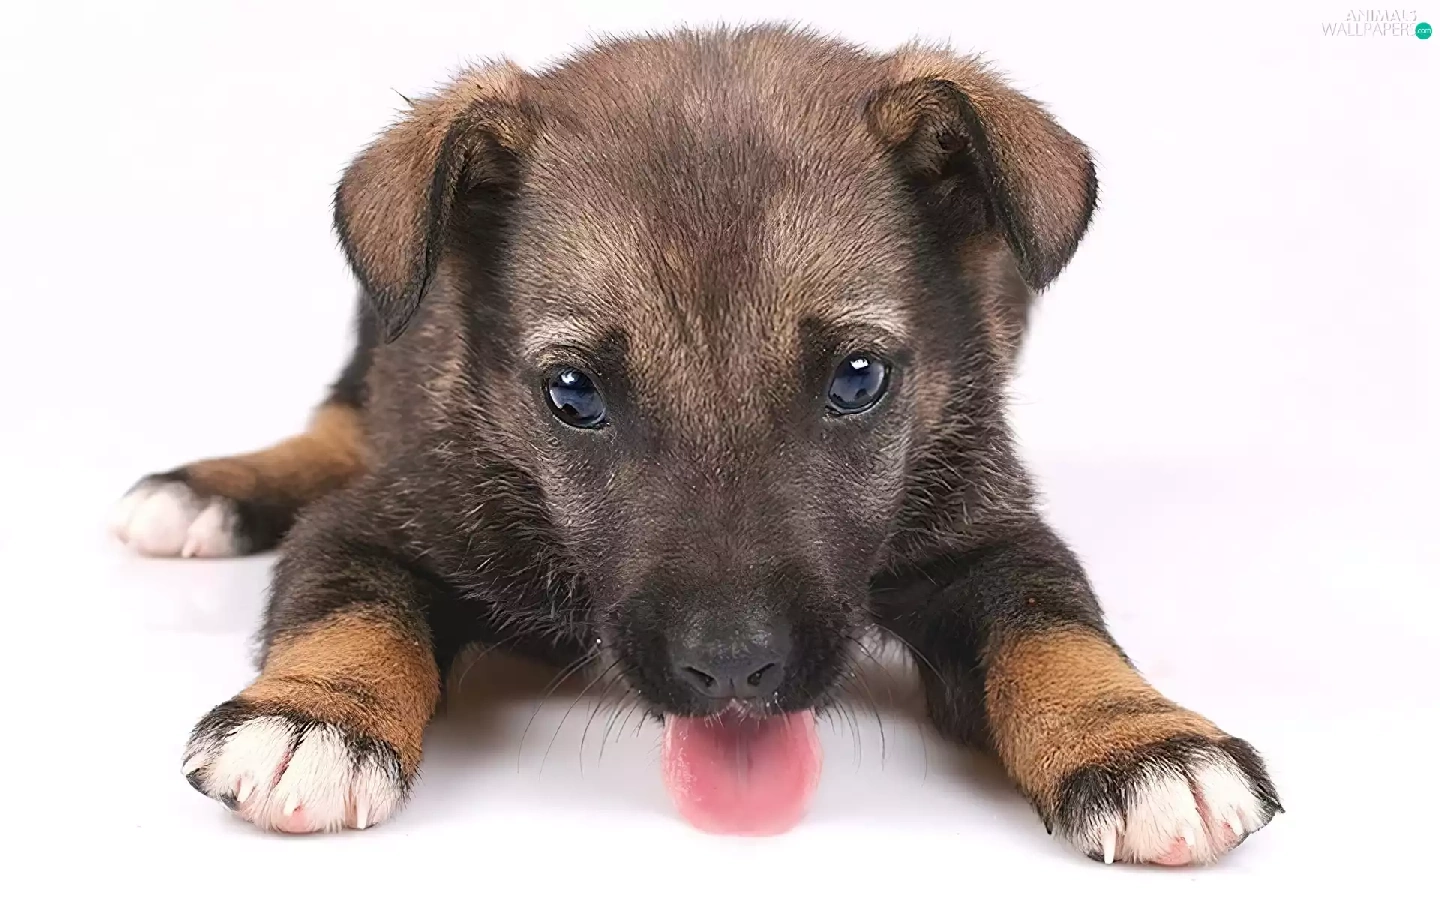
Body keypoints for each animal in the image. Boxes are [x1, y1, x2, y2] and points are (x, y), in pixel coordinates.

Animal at [113, 24, 1281, 863]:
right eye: (573, 394)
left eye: (858, 379)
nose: (730, 673)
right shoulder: (386, 516)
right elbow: (349, 607)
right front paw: (314, 718)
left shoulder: (989, 531)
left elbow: (1056, 630)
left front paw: (1141, 741)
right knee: (334, 421)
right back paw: (206, 491)